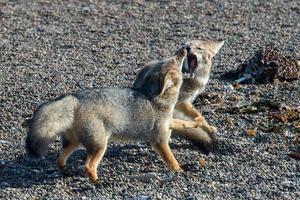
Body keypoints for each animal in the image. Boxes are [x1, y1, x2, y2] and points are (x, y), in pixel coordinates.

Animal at [25, 47, 199, 182]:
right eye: (175, 59)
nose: (185, 48)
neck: (154, 97)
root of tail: (75, 98)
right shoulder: (159, 141)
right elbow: (171, 159)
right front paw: (179, 170)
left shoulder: (167, 123)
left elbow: (180, 122)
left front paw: (197, 122)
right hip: (100, 145)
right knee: (88, 166)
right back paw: (98, 183)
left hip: (76, 143)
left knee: (59, 160)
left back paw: (67, 172)